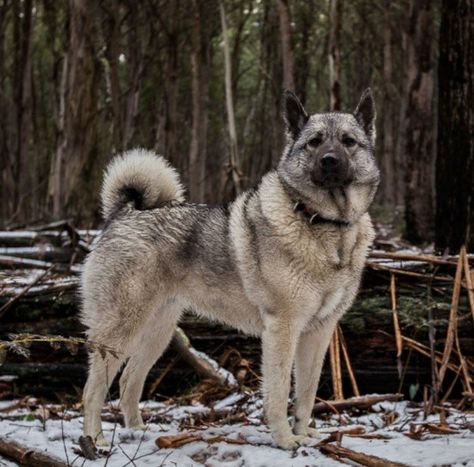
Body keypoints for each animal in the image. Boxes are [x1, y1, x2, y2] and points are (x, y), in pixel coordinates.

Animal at [80, 88, 378, 450]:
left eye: (349, 142)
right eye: (314, 142)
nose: (330, 160)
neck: (324, 225)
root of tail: (124, 214)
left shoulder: (319, 332)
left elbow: (306, 393)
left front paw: (304, 433)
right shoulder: (282, 329)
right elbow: (279, 391)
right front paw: (285, 439)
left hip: (157, 332)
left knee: (128, 383)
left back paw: (138, 432)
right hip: (120, 330)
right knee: (93, 389)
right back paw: (94, 440)